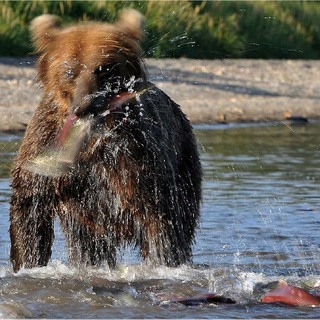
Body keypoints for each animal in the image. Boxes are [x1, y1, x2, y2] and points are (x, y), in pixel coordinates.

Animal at [10, 8, 201, 272]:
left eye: (104, 68)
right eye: (69, 71)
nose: (85, 106)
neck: (93, 137)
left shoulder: (137, 158)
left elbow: (161, 221)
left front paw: (162, 261)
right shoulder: (45, 150)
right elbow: (29, 209)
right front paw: (29, 263)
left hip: (185, 160)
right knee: (88, 245)